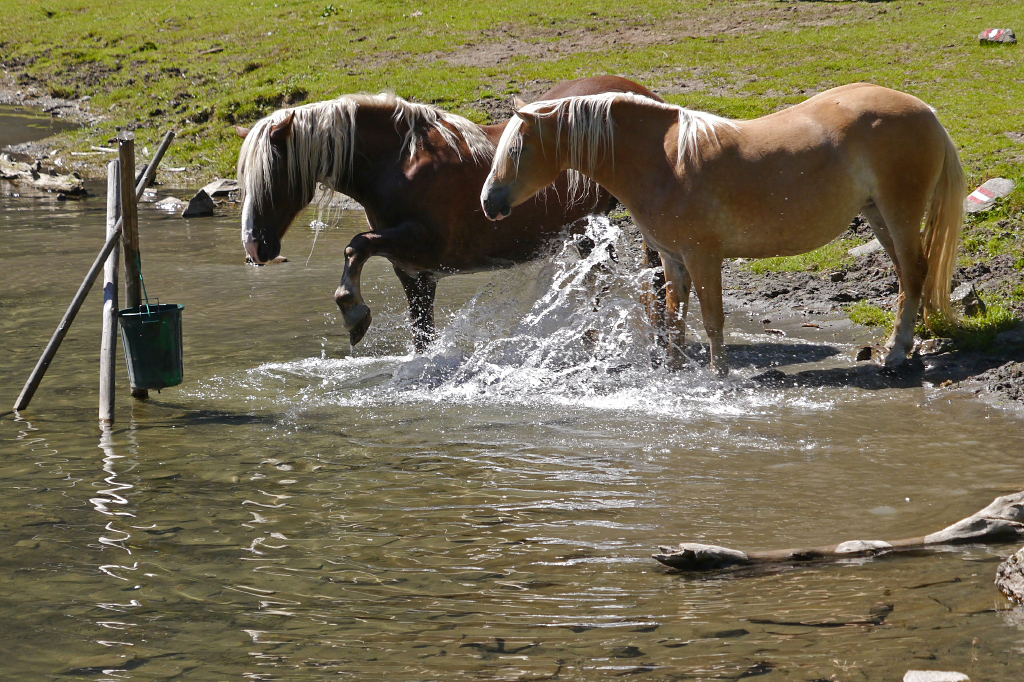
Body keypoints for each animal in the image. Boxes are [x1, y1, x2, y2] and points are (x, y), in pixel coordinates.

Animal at [234, 75, 663, 350]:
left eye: (272, 175)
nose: (255, 248)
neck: (399, 163)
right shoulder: (413, 271)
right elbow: (422, 336)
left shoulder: (425, 245)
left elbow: (356, 245)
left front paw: (353, 312)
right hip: (587, 232)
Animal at [483, 83, 962, 376]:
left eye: (518, 148)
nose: (489, 203)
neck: (663, 162)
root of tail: (927, 113)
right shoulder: (674, 259)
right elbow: (674, 317)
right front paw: (673, 372)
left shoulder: (703, 255)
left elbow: (712, 318)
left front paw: (718, 375)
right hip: (879, 216)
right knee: (908, 278)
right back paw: (904, 346)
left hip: (900, 214)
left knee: (914, 275)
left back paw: (896, 353)